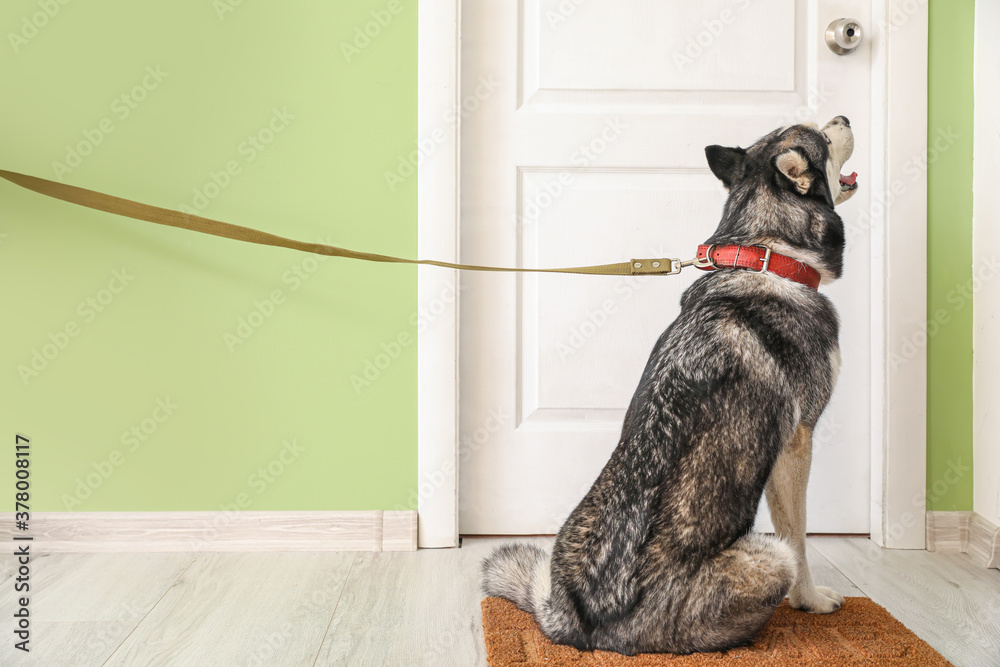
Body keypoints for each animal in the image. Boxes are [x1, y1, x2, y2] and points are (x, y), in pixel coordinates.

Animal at [480, 117, 856, 656]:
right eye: (824, 140)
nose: (843, 118)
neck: (767, 253)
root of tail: (580, 622)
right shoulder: (796, 444)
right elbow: (802, 539)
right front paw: (811, 601)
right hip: (769, 557)